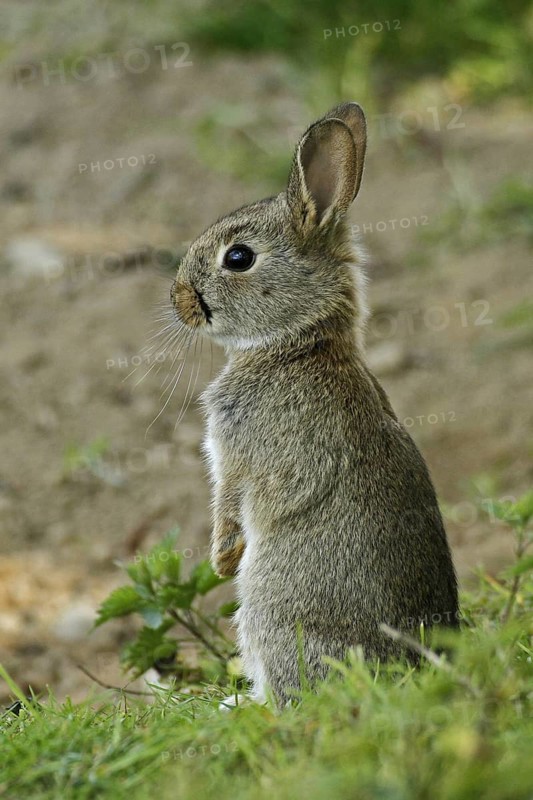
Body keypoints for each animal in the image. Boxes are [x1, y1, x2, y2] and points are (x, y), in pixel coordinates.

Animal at [170, 102, 459, 706]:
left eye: (238, 258)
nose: (179, 298)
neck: (299, 342)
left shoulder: (238, 455)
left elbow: (230, 503)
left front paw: (220, 560)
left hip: (269, 608)